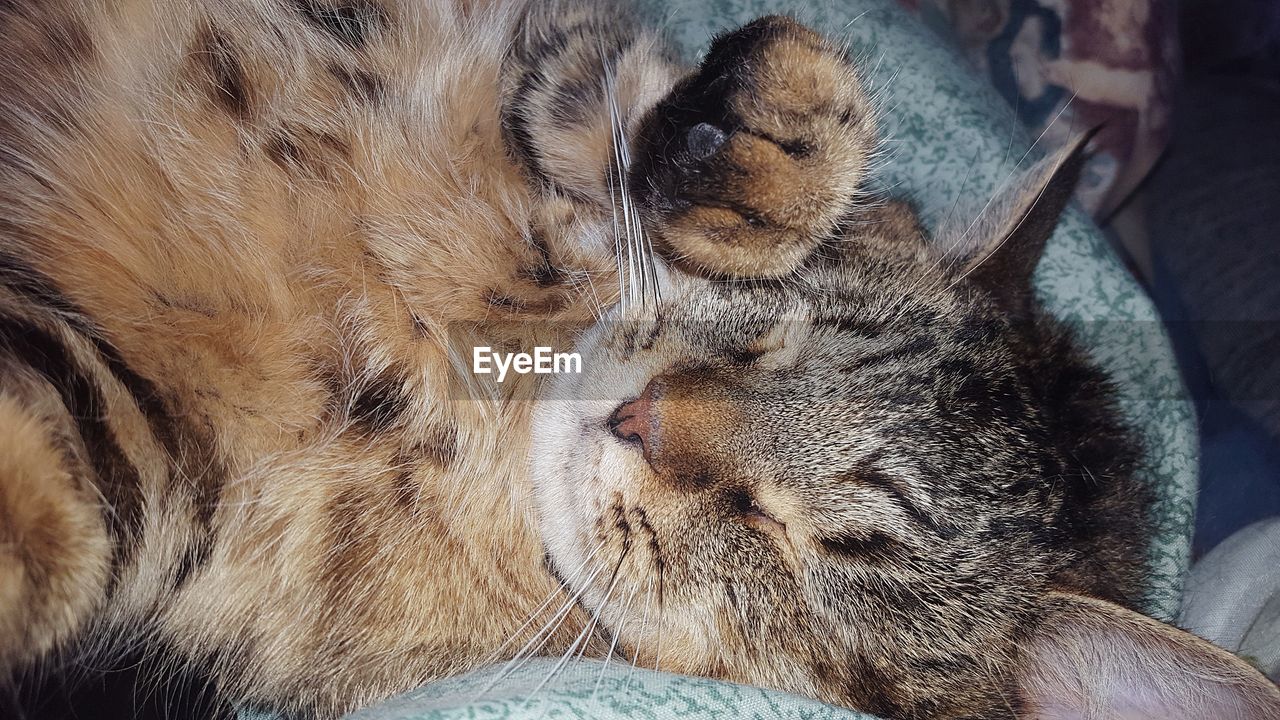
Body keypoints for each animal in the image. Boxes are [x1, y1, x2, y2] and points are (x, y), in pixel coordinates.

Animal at [0, 1, 1274, 717]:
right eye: (773, 339)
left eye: (808, 543)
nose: (640, 416)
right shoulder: (541, 44)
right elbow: (622, 76)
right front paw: (756, 136)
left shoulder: (156, 451)